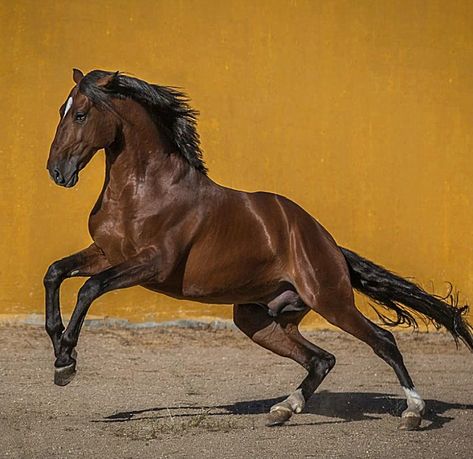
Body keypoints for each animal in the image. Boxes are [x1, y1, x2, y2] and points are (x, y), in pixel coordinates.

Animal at [45, 68, 472, 432]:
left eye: (80, 114)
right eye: (61, 110)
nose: (57, 171)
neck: (144, 190)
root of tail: (328, 242)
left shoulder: (150, 264)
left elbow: (89, 288)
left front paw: (66, 358)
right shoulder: (107, 254)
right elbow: (56, 272)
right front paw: (59, 349)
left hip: (331, 301)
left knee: (383, 342)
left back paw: (414, 411)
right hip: (258, 319)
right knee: (322, 359)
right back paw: (284, 409)